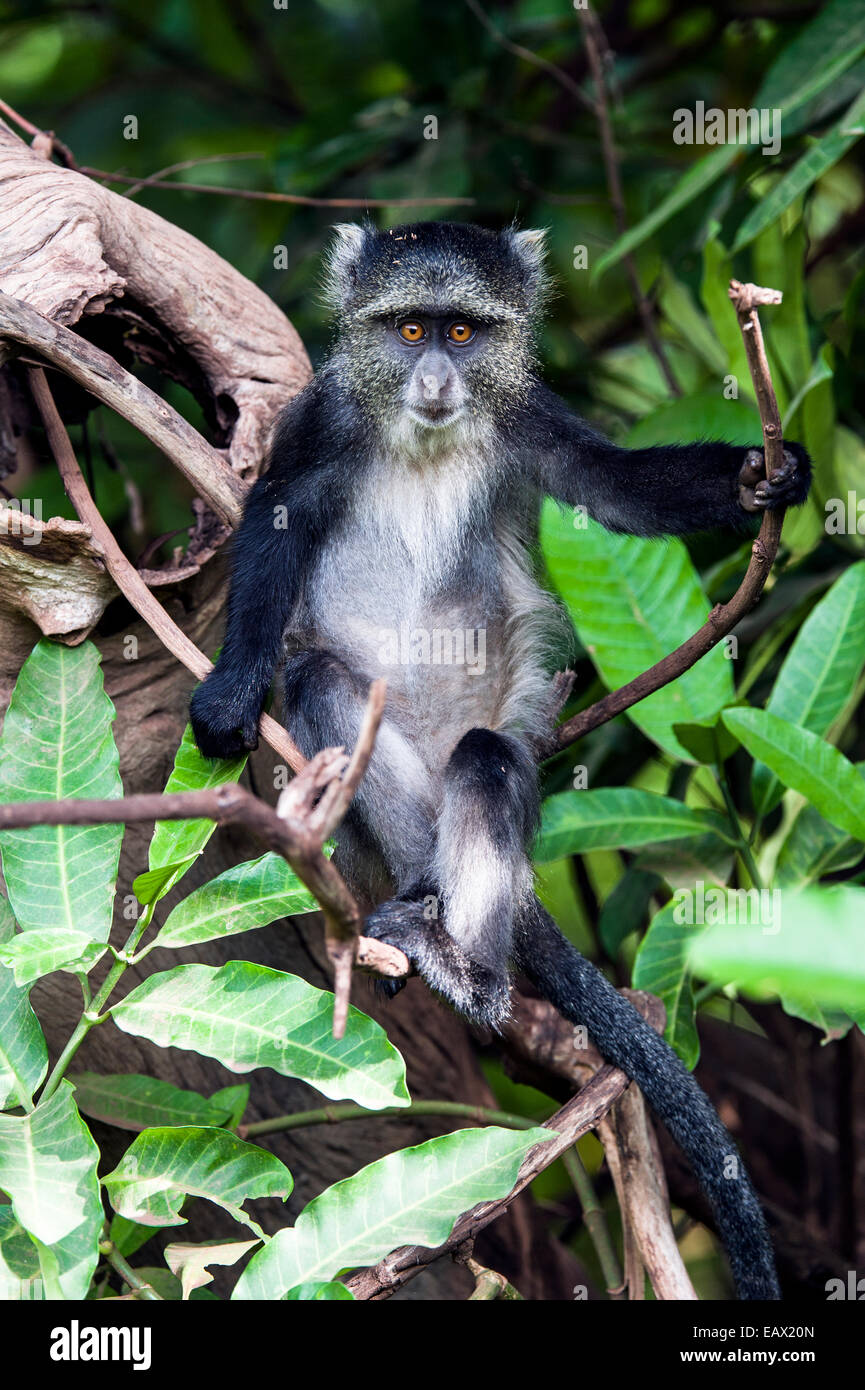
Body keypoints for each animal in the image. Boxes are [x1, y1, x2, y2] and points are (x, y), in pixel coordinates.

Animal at [189, 222, 812, 1295]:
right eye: (408, 329)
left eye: (464, 332)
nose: (437, 377)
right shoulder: (318, 424)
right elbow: (274, 522)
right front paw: (231, 690)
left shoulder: (531, 420)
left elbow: (612, 486)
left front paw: (750, 479)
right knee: (324, 687)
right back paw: (411, 905)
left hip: (496, 749)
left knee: (485, 761)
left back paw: (467, 966)